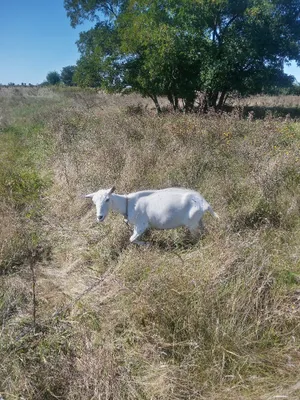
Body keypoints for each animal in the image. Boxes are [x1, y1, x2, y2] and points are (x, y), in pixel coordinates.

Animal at [85, 187, 219, 244]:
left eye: (107, 199)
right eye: (94, 202)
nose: (99, 217)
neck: (128, 203)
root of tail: (204, 202)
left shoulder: (141, 225)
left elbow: (132, 239)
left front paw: (147, 245)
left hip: (192, 223)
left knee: (197, 236)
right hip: (198, 220)